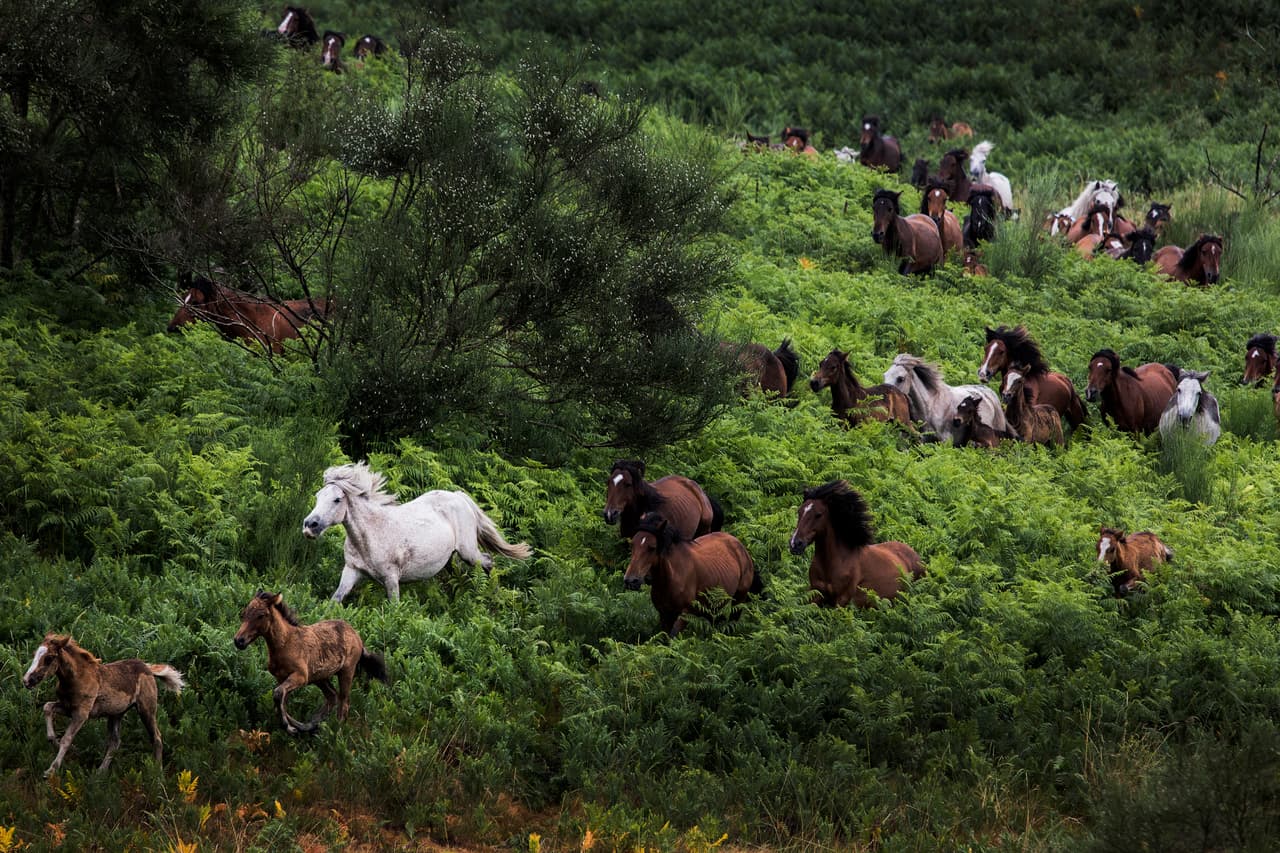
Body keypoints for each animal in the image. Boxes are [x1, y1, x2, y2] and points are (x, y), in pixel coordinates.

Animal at [23, 634, 184, 777]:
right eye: (34, 654)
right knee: (115, 742)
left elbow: (67, 739)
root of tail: (148, 669)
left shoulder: (81, 714)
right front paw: (58, 743)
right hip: (116, 714)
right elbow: (47, 707)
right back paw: (100, 772)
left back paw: (158, 773)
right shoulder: (67, 707)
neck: (76, 679)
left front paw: (51, 770)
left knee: (156, 737)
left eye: (49, 658)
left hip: (146, 709)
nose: (27, 680)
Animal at [234, 592, 387, 735]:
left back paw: (336, 731)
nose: (238, 641)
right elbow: (281, 701)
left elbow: (278, 694)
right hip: (319, 677)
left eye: (261, 615)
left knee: (344, 701)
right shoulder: (281, 678)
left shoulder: (301, 676)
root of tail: (357, 637)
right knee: (332, 696)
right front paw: (293, 727)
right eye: (244, 613)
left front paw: (289, 728)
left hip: (346, 671)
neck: (285, 643)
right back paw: (311, 725)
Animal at [303, 462, 532, 602]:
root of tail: (459, 496)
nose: (309, 525)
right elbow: (335, 601)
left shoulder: (391, 579)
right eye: (318, 496)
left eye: (337, 499)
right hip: (448, 559)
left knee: (488, 562)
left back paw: (494, 599)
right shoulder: (351, 570)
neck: (370, 536)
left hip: (468, 552)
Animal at [624, 513, 759, 636]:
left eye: (652, 547)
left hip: (738, 600)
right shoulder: (665, 615)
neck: (672, 577)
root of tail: (741, 547)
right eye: (632, 544)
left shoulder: (686, 613)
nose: (631, 580)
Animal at [789, 481, 924, 608]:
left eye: (818, 515)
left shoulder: (842, 600)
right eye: (799, 511)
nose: (795, 544)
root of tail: (912, 551)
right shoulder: (815, 593)